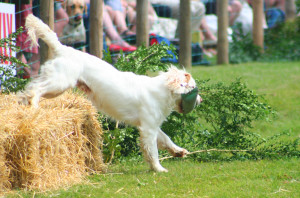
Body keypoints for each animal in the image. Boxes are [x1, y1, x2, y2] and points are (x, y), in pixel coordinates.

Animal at [18, 14, 202, 172]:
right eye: (193, 87)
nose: (200, 100)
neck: (162, 91)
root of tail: (63, 49)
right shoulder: (148, 128)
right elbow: (153, 151)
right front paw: (158, 168)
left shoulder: (151, 125)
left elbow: (166, 139)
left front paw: (178, 151)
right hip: (60, 82)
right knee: (35, 89)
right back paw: (33, 106)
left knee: (28, 88)